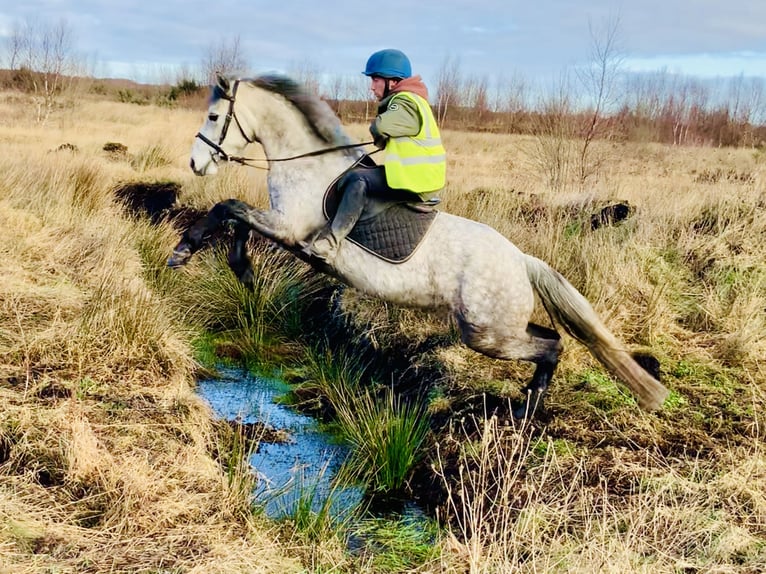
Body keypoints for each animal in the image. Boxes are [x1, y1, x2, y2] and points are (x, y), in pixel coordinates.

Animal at [170, 74, 672, 416]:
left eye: (214, 116)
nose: (195, 163)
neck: (304, 165)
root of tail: (521, 260)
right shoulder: (279, 225)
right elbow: (235, 217)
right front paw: (239, 267)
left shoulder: (290, 228)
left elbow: (228, 207)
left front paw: (186, 250)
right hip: (495, 326)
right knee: (551, 339)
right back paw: (528, 400)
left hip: (486, 332)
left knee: (550, 347)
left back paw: (528, 410)